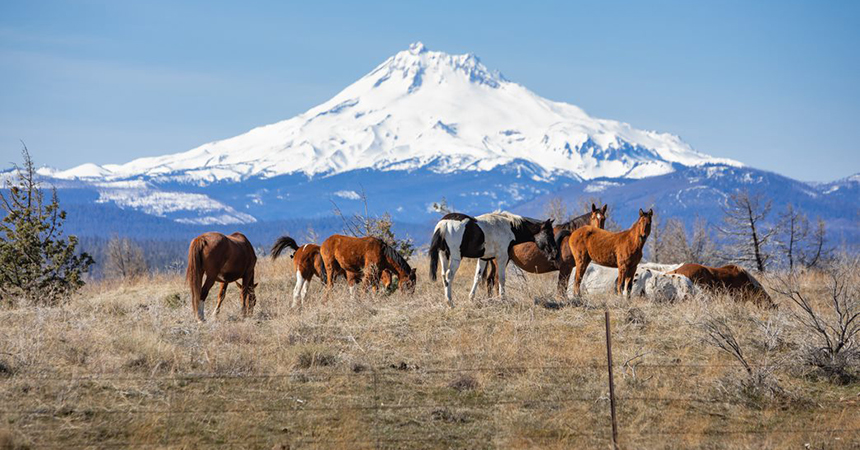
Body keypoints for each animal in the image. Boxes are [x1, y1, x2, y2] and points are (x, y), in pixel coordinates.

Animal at [428, 210, 556, 306]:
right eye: (549, 233)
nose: (555, 253)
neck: (508, 227)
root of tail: (444, 224)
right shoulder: (502, 257)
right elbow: (501, 278)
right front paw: (503, 299)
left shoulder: (483, 258)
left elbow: (478, 277)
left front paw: (471, 298)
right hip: (455, 258)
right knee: (449, 275)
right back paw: (450, 302)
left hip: (443, 255)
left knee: (444, 275)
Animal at [480, 203, 608, 296]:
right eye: (593, 218)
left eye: (604, 218)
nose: (599, 233)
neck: (569, 238)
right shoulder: (565, 268)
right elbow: (561, 288)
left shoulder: (568, 269)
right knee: (496, 280)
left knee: (490, 281)